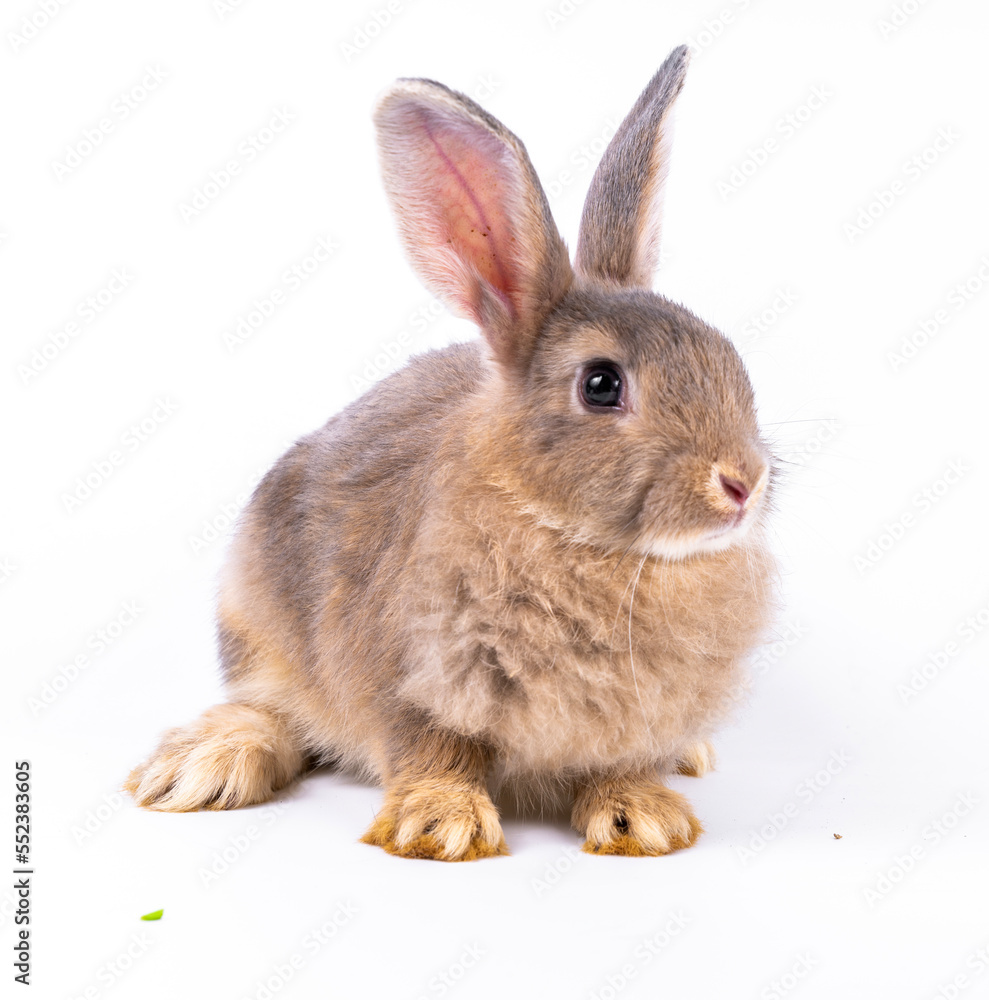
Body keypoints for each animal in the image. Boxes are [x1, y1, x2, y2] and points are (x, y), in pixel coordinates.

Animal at [126, 44, 777, 861]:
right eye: (601, 385)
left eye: (727, 355)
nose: (743, 483)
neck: (588, 547)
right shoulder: (411, 679)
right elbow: (433, 749)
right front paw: (440, 826)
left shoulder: (634, 717)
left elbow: (618, 762)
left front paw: (645, 817)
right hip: (254, 621)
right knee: (269, 707)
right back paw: (204, 765)